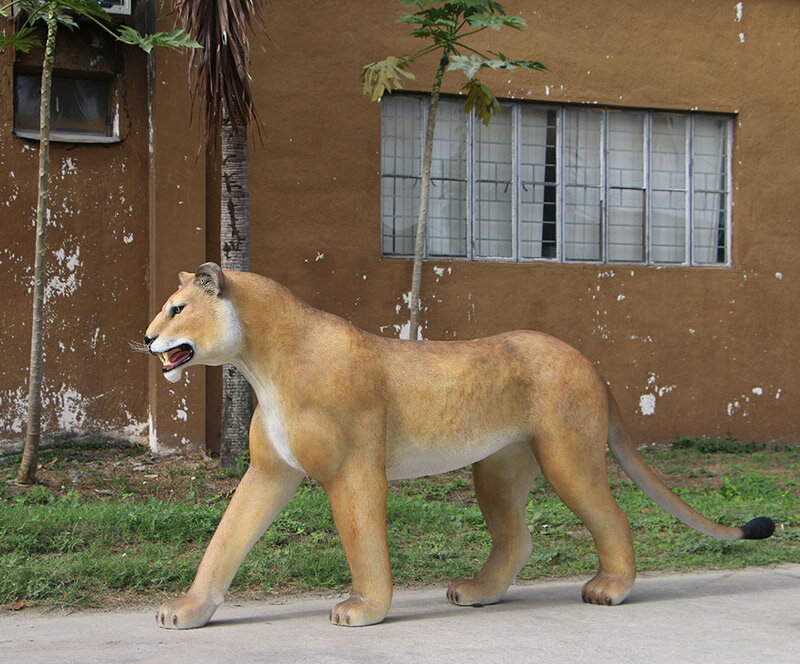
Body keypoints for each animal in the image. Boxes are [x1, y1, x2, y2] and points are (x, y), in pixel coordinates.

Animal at [144, 262, 774, 629]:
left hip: (567, 455)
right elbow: (226, 540)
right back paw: (478, 592)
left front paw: (365, 609)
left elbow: (363, 541)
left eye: (177, 308)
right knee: (517, 538)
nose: (147, 337)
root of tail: (590, 364)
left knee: (612, 517)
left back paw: (610, 590)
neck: (259, 364)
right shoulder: (270, 471)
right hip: (499, 466)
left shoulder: (354, 470)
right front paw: (189, 611)